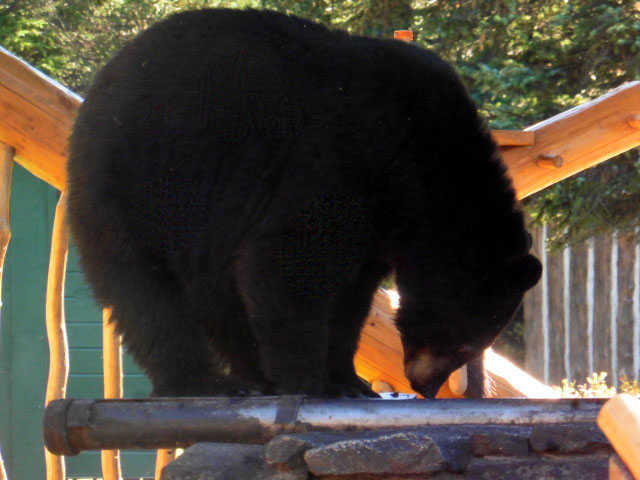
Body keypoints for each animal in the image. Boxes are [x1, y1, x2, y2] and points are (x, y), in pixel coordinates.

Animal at [67, 8, 542, 398]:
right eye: (465, 342)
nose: (424, 386)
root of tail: (97, 90)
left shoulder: (379, 223)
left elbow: (353, 295)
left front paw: (348, 380)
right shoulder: (340, 160)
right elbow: (289, 262)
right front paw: (310, 382)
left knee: (215, 294)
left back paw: (252, 375)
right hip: (135, 186)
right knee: (146, 292)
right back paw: (203, 381)